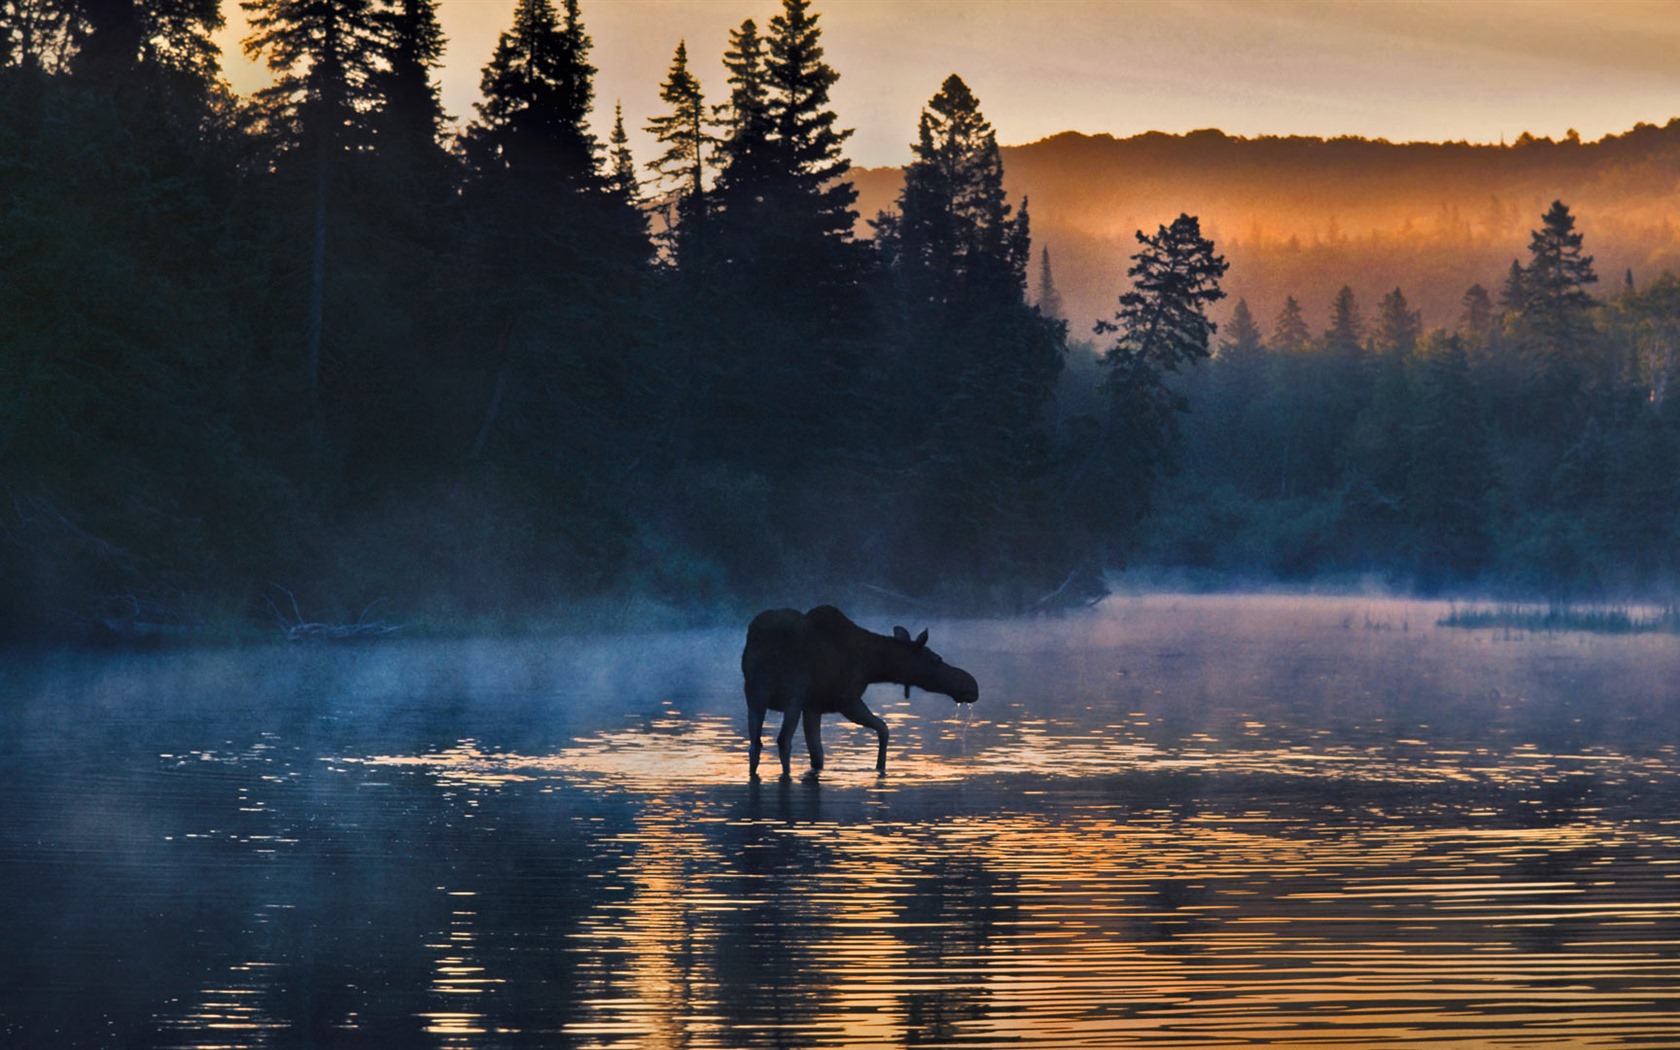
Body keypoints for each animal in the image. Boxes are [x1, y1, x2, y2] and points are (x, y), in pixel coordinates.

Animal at [739, 604, 981, 779]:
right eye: (935, 659)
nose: (971, 685)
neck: (873, 664)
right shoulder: (846, 700)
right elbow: (884, 728)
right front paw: (880, 766)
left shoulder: (813, 706)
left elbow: (817, 755)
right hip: (792, 693)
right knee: (782, 740)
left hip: (755, 693)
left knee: (755, 744)